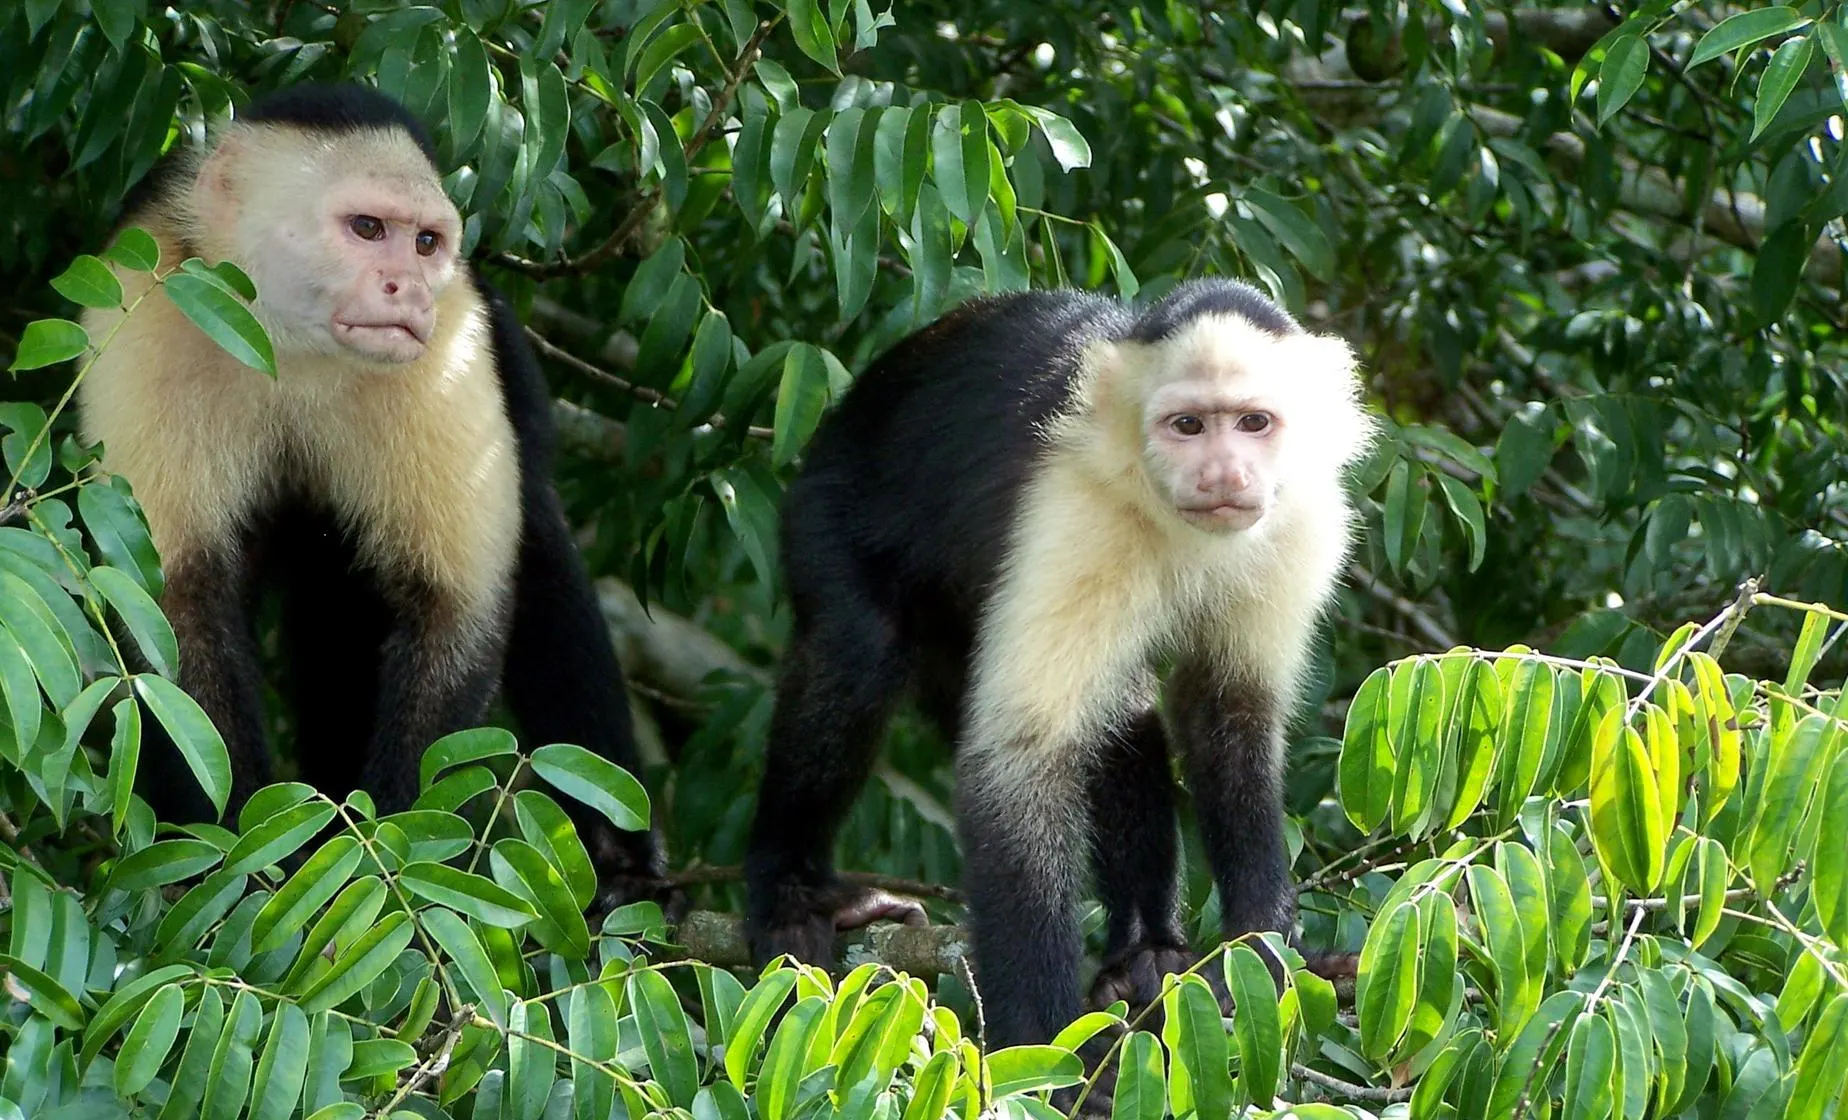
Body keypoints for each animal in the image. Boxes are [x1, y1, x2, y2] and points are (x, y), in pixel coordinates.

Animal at [75, 82, 669, 910]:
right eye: (366, 229)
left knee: (533, 550)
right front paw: (237, 870)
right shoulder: (147, 309)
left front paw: (389, 873)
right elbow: (174, 615)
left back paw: (623, 866)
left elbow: (453, 609)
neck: (286, 340)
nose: (410, 289)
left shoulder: (451, 341)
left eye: (425, 243)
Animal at [742, 278, 1376, 1057]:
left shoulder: (1304, 521)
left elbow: (1228, 711)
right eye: (1188, 426)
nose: (1224, 473)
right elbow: (1023, 756)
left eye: (1255, 422)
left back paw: (1142, 953)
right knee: (857, 651)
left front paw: (1262, 948)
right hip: (827, 507)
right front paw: (1037, 1048)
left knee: (1123, 710)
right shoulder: (1075, 509)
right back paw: (789, 887)